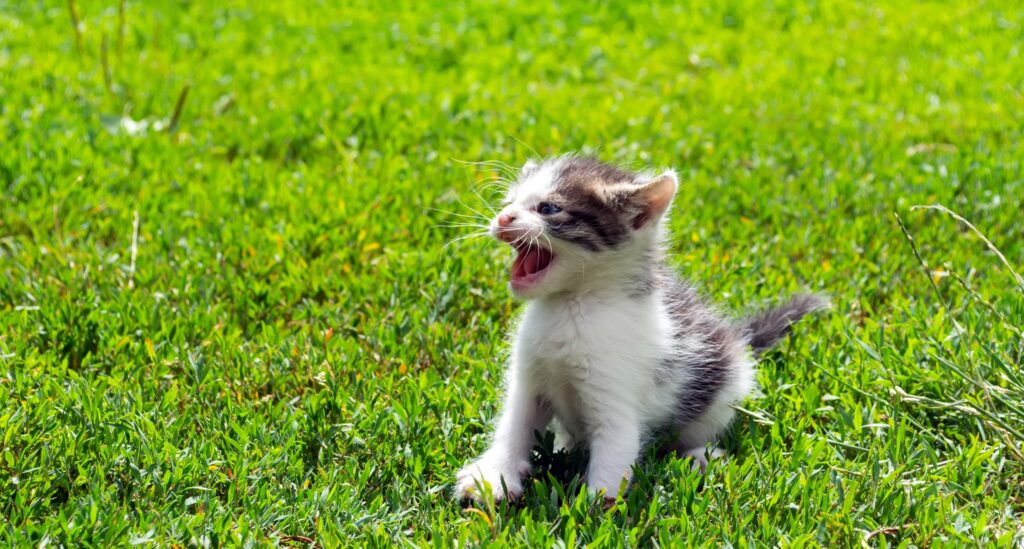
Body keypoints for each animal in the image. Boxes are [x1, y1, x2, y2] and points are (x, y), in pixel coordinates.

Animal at [454, 154, 823, 501]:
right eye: (508, 202)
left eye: (549, 208)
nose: (503, 218)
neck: (571, 306)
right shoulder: (529, 379)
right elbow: (515, 424)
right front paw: (493, 477)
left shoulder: (616, 391)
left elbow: (616, 446)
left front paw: (597, 508)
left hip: (722, 392)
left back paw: (699, 455)